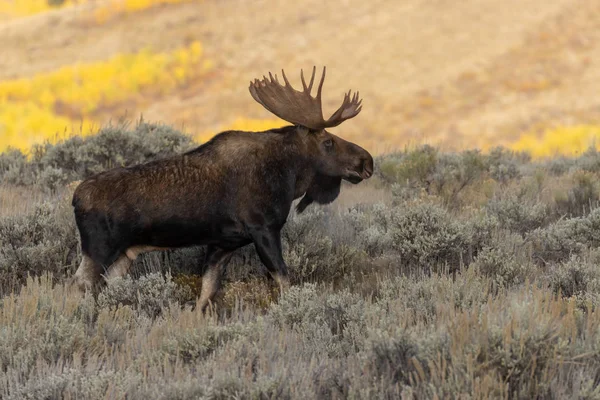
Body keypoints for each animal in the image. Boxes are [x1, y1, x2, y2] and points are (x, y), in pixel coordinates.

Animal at [69, 65, 370, 310]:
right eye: (328, 141)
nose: (367, 160)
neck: (288, 174)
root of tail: (76, 198)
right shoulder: (264, 229)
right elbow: (284, 280)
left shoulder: (223, 243)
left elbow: (207, 293)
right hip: (99, 247)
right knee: (79, 284)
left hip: (124, 253)